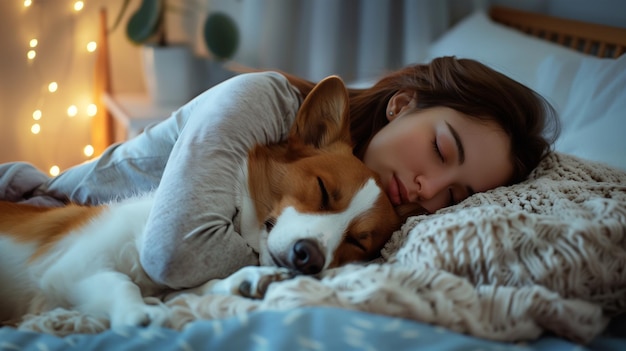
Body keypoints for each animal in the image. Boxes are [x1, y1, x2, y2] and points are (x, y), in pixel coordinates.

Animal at [0, 76, 424, 330]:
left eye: (359, 243)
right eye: (322, 189)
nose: (309, 257)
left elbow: (196, 288)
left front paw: (244, 280)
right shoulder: (69, 268)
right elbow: (122, 283)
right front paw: (140, 314)